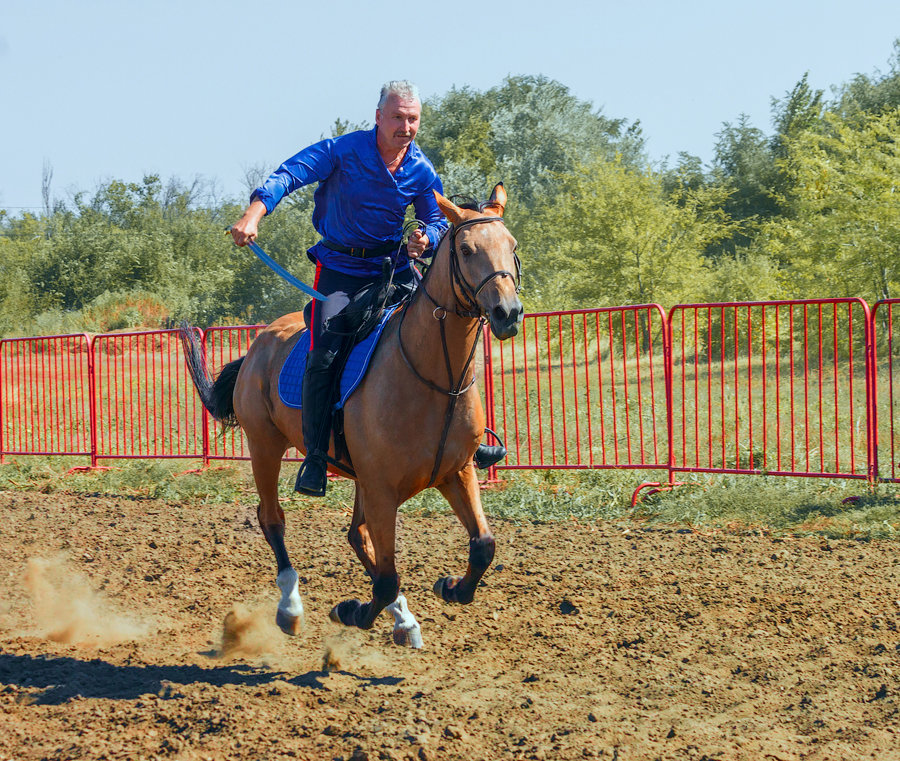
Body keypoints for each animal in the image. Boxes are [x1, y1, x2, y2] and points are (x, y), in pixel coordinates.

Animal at [180, 184, 524, 648]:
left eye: (512, 246)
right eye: (468, 250)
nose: (508, 312)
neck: (433, 376)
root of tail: (259, 344)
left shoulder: (456, 472)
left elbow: (483, 545)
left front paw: (450, 587)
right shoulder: (381, 488)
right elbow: (387, 579)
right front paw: (354, 611)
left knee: (357, 536)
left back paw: (403, 619)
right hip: (264, 446)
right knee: (273, 519)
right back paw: (291, 607)